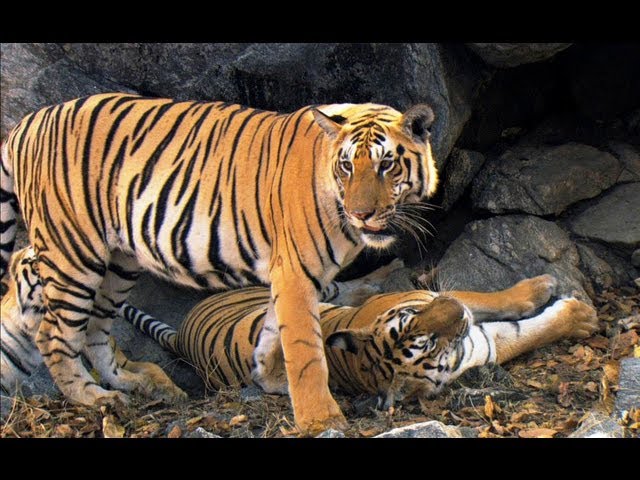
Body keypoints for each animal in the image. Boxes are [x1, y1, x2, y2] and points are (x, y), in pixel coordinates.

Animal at [0, 93, 437, 434]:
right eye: (347, 166)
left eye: (386, 165)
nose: (362, 213)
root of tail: (27, 122)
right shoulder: (296, 273)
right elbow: (304, 350)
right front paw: (320, 419)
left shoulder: (290, 276)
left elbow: (271, 335)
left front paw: (269, 378)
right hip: (73, 254)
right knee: (54, 335)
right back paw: (92, 398)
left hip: (119, 264)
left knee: (94, 331)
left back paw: (129, 386)